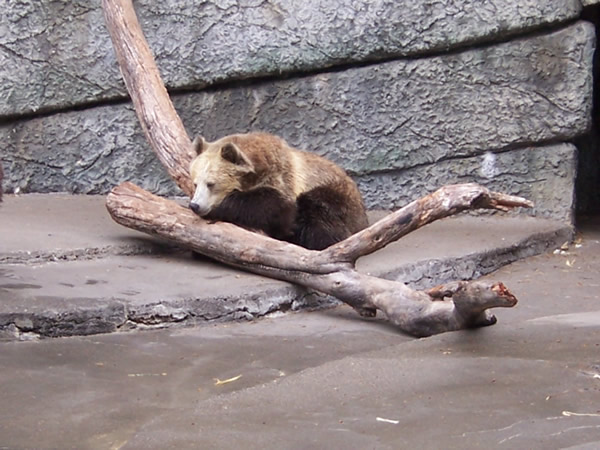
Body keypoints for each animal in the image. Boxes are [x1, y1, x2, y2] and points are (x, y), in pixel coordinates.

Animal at [189, 133, 366, 250]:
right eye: (195, 183)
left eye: (211, 184)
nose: (195, 205)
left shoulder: (283, 178)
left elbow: (275, 206)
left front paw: (221, 208)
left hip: (338, 196)